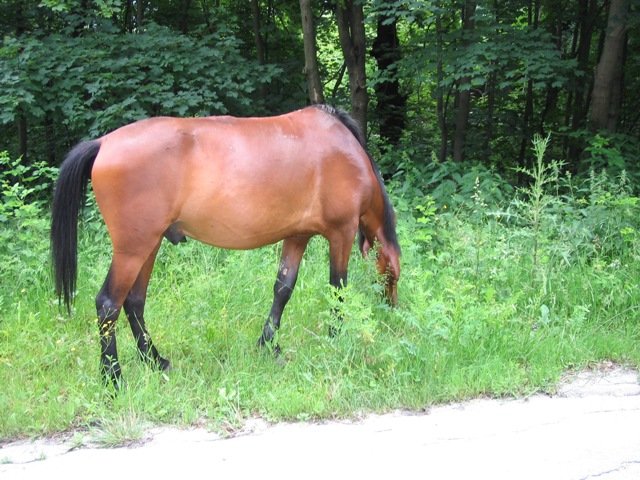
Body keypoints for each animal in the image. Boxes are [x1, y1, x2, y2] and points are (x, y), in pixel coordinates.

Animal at [51, 105, 400, 386]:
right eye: (393, 276)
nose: (393, 312)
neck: (345, 151)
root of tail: (103, 143)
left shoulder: (296, 236)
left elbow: (283, 288)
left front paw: (268, 344)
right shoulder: (341, 232)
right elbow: (338, 289)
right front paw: (335, 338)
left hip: (148, 246)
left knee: (134, 302)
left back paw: (155, 360)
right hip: (133, 250)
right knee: (109, 304)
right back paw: (113, 377)